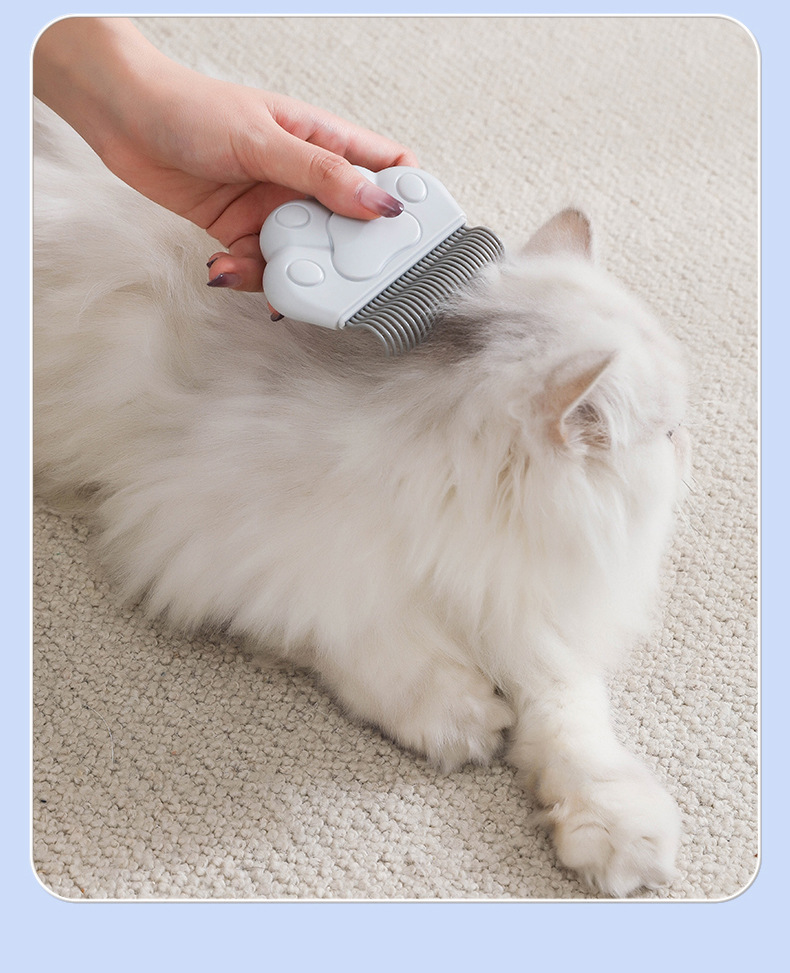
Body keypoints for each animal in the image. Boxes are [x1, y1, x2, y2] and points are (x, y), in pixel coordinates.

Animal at [33, 101, 689, 897]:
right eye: (664, 431)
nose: (690, 442)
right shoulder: (213, 543)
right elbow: (367, 641)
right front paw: (464, 720)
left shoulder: (525, 602)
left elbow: (570, 720)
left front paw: (618, 831)